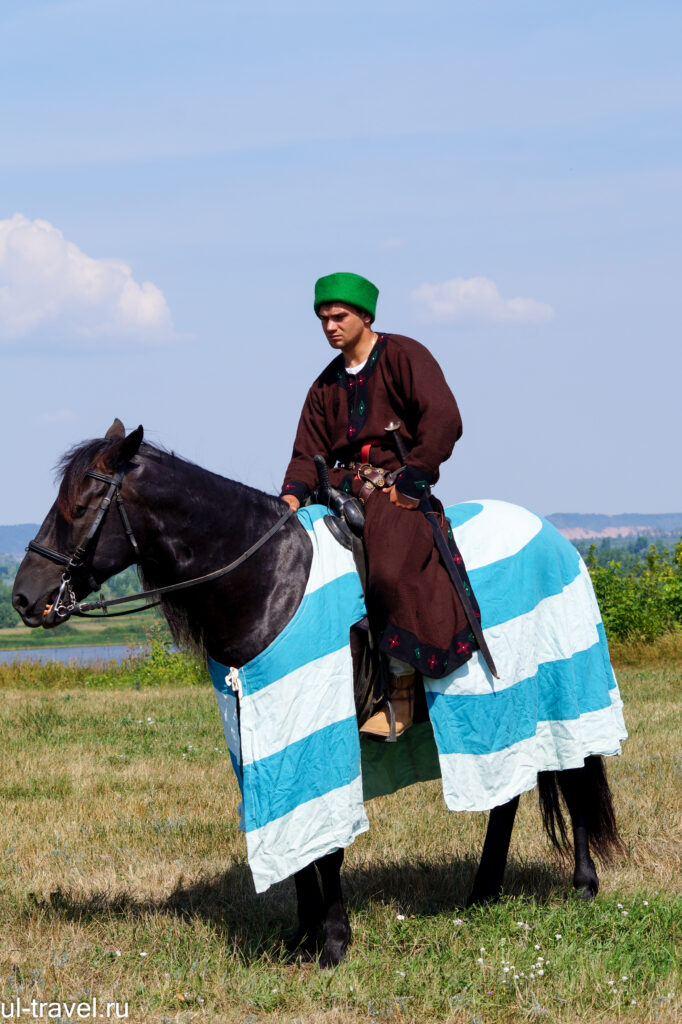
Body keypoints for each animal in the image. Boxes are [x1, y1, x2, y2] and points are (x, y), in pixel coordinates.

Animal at [11, 421, 622, 966]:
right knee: (507, 791)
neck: (263, 577)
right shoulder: (264, 730)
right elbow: (299, 845)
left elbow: (326, 848)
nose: (23, 598)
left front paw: (332, 943)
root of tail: (556, 538)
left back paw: (582, 885)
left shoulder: (314, 725)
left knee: (572, 774)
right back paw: (482, 892)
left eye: (80, 505)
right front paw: (302, 940)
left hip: (562, 684)